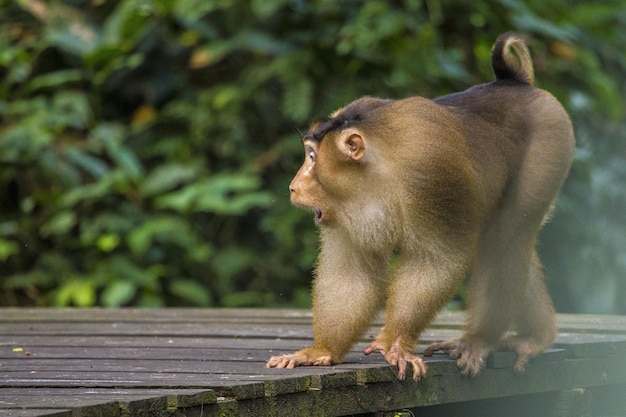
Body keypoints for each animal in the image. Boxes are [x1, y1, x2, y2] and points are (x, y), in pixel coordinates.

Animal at [266, 32, 572, 380]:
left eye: (312, 157)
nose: (293, 186)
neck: (377, 174)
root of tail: (514, 83)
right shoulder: (343, 210)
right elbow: (351, 271)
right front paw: (322, 350)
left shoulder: (431, 174)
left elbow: (437, 259)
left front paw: (395, 342)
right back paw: (538, 336)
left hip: (550, 142)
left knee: (506, 238)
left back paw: (482, 340)